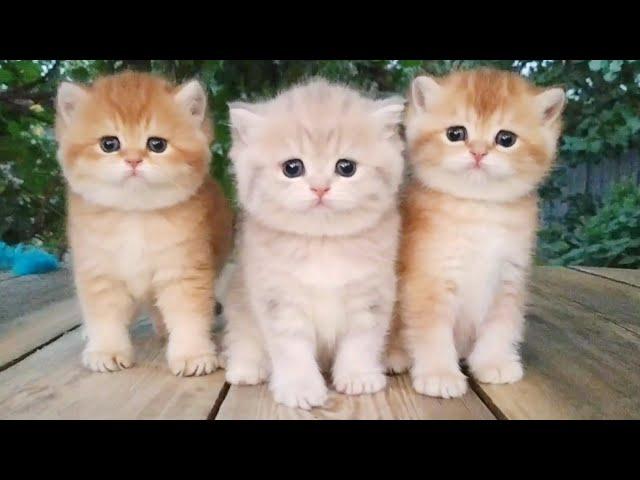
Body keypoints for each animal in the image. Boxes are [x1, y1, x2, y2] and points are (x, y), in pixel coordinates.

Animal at [56, 72, 234, 376]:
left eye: (157, 144)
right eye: (109, 144)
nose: (133, 160)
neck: (134, 214)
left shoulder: (183, 269)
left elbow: (187, 315)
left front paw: (192, 353)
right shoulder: (99, 271)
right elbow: (105, 316)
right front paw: (106, 350)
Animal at [222, 79, 402, 408]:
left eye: (346, 167)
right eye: (292, 168)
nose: (320, 188)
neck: (322, 244)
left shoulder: (372, 295)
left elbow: (361, 340)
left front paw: (357, 376)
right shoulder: (278, 300)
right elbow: (291, 350)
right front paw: (300, 387)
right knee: (241, 335)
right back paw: (246, 367)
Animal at [388, 67, 568, 398]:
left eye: (506, 138)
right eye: (456, 133)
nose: (478, 152)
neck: (478, 209)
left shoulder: (508, 278)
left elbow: (500, 326)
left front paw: (494, 362)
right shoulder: (429, 281)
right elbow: (432, 332)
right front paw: (439, 373)